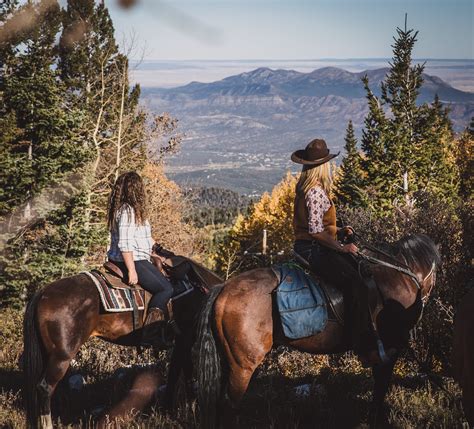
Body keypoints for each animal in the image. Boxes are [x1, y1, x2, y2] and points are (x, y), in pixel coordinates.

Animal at [22, 260, 222, 428]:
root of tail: (43, 293)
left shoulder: (182, 342)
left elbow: (177, 374)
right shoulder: (185, 340)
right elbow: (183, 376)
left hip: (47, 354)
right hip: (61, 356)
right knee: (45, 388)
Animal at [194, 232, 438, 426]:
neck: (396, 278)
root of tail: (223, 290)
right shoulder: (389, 349)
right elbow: (380, 389)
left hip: (230, 362)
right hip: (243, 365)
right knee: (228, 405)